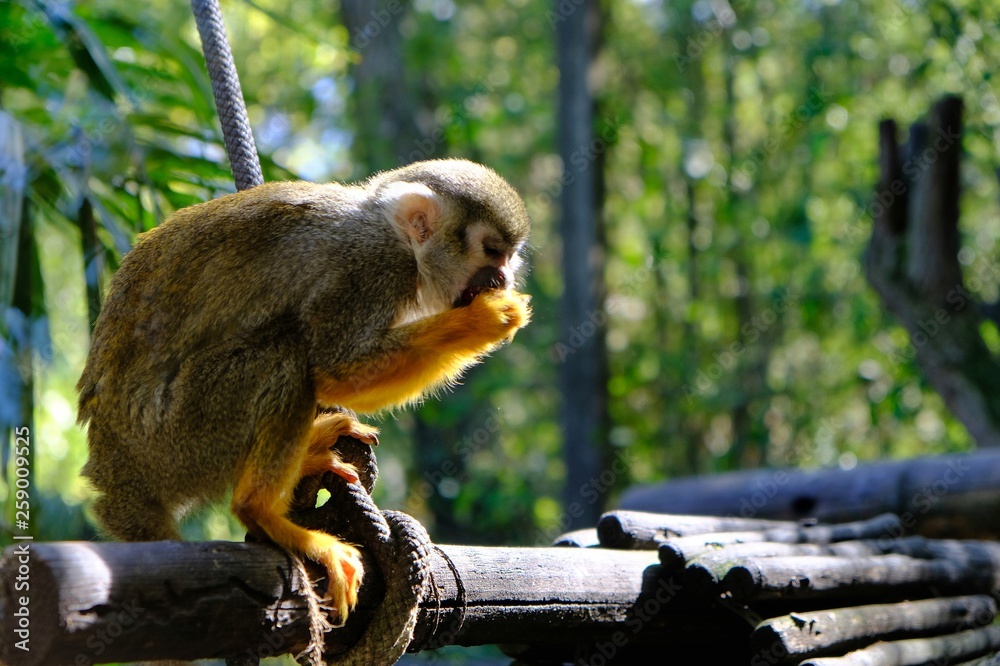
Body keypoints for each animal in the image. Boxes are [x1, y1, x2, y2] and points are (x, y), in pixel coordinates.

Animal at [76, 158, 531, 624]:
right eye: (491, 250)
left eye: (509, 255)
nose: (504, 276)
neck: (391, 232)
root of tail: (117, 468)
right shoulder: (368, 269)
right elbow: (335, 368)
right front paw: (485, 319)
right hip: (180, 436)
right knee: (289, 356)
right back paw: (261, 511)